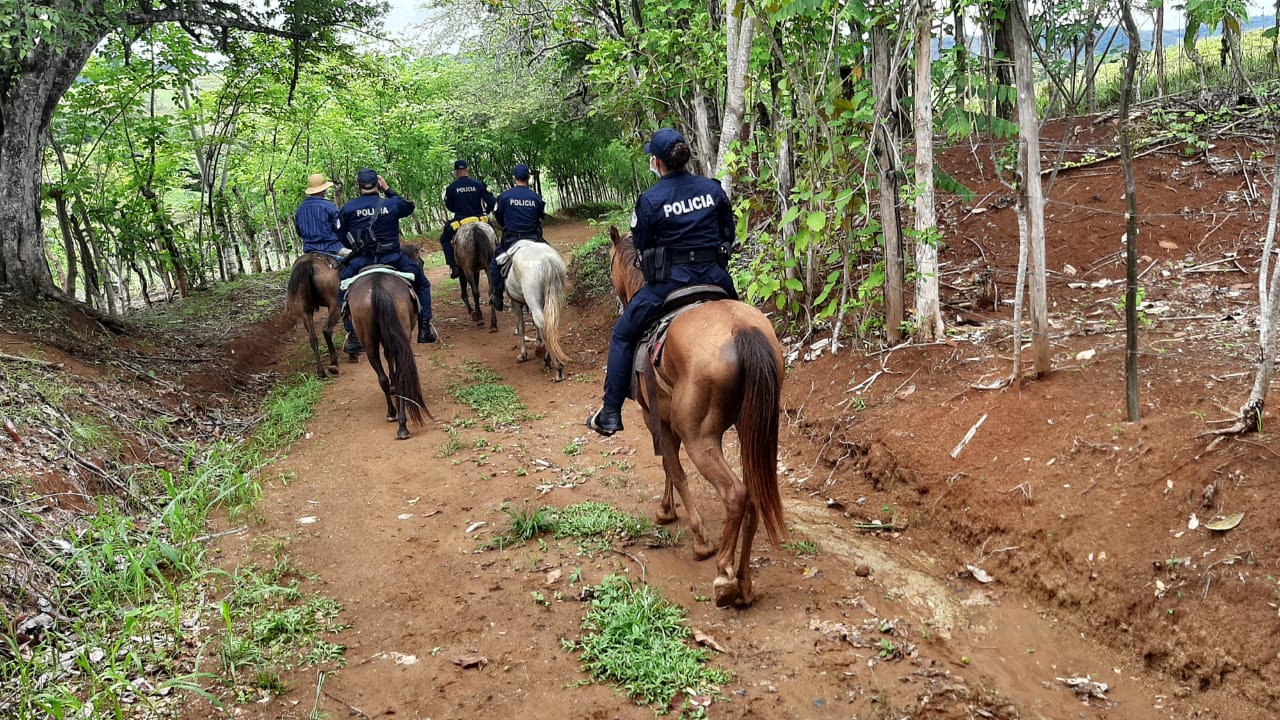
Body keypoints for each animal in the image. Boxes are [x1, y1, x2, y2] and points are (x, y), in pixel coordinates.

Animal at [344, 248, 430, 439]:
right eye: (420, 262)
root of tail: (378, 285)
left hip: (370, 342)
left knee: (383, 377)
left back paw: (394, 414)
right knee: (395, 374)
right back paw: (401, 422)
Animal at [503, 240, 568, 382]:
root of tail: (546, 260)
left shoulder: (516, 303)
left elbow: (521, 326)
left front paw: (524, 354)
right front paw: (539, 343)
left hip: (532, 299)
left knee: (542, 323)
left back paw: (555, 366)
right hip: (553, 298)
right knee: (549, 326)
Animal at [608, 226, 788, 608]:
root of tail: (740, 329)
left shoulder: (652, 416)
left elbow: (672, 468)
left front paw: (695, 535)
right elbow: (669, 466)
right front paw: (669, 511)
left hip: (700, 438)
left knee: (735, 493)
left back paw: (723, 574)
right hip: (753, 431)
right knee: (753, 495)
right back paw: (743, 582)